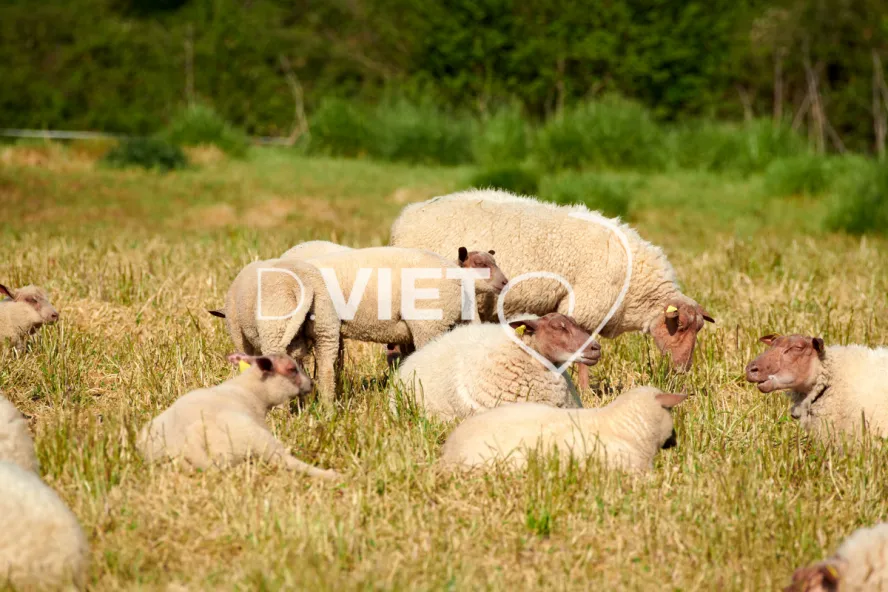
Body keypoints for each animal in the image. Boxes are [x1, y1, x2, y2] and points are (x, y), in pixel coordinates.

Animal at [137, 353, 339, 479]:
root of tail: (186, 444)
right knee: (284, 460)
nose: (311, 384)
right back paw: (330, 474)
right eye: (291, 369)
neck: (250, 391)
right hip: (251, 438)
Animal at [389, 189, 715, 389]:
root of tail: (404, 219)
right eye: (679, 327)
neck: (636, 287)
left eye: (698, 329)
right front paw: (586, 389)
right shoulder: (584, 306)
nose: (683, 370)